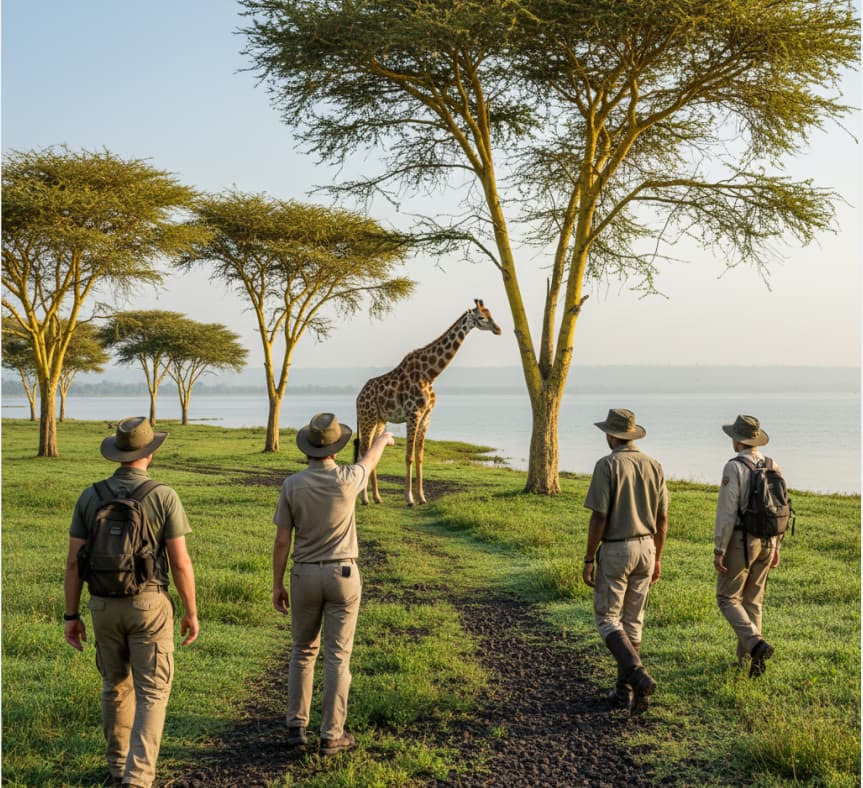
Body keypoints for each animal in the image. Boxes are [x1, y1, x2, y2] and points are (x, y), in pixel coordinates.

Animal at [355, 299, 502, 506]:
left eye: (491, 314)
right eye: (481, 317)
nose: (498, 329)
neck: (430, 374)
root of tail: (358, 397)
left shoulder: (426, 416)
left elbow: (420, 457)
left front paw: (422, 497)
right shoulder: (413, 414)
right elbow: (408, 456)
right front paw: (409, 499)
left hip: (380, 420)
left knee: (372, 451)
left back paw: (377, 497)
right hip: (367, 418)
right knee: (364, 451)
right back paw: (365, 499)